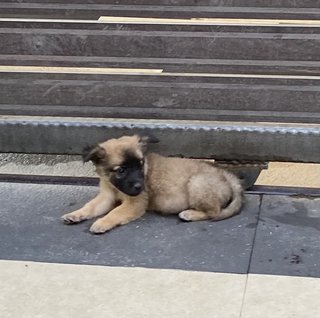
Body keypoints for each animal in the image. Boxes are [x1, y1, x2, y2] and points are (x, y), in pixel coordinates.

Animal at [61, 134, 244, 234]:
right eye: (121, 170)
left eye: (140, 165)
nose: (139, 187)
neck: (116, 186)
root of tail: (227, 175)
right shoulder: (106, 196)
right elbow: (90, 206)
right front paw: (75, 214)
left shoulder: (135, 203)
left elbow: (115, 212)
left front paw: (101, 222)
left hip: (196, 183)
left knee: (214, 212)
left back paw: (190, 214)